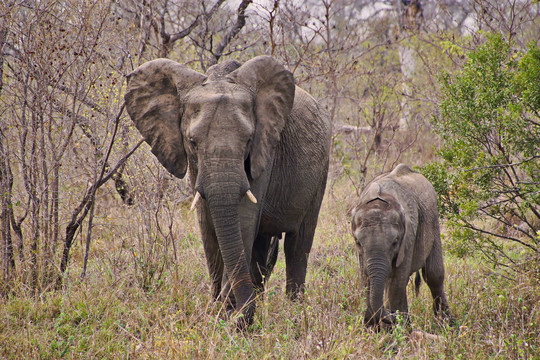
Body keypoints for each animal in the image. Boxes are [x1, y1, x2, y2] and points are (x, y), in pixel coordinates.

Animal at [124, 54, 332, 328]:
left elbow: (242, 219)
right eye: (192, 142)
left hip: (322, 168)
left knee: (298, 244)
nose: (239, 314)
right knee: (261, 245)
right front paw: (217, 311)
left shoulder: (265, 149)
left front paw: (229, 314)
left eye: (248, 140)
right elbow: (207, 222)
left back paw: (294, 310)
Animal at [350, 165, 452, 328]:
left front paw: (401, 329)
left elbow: (397, 282)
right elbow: (366, 280)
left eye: (395, 242)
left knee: (433, 275)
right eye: (358, 242)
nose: (391, 315)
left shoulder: (408, 236)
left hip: (434, 220)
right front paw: (371, 329)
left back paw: (446, 323)